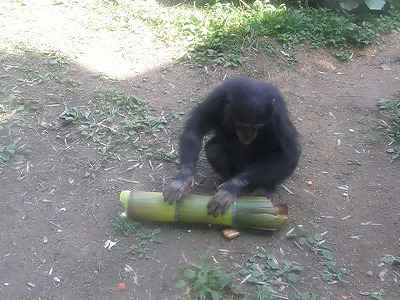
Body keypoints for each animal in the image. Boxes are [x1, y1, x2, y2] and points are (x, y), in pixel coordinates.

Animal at [162, 75, 300, 216]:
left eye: (258, 126)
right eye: (242, 125)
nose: (248, 135)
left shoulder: (278, 115)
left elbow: (287, 156)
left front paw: (230, 188)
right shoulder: (215, 100)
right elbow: (194, 131)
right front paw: (183, 179)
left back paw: (266, 190)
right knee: (213, 149)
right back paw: (224, 179)